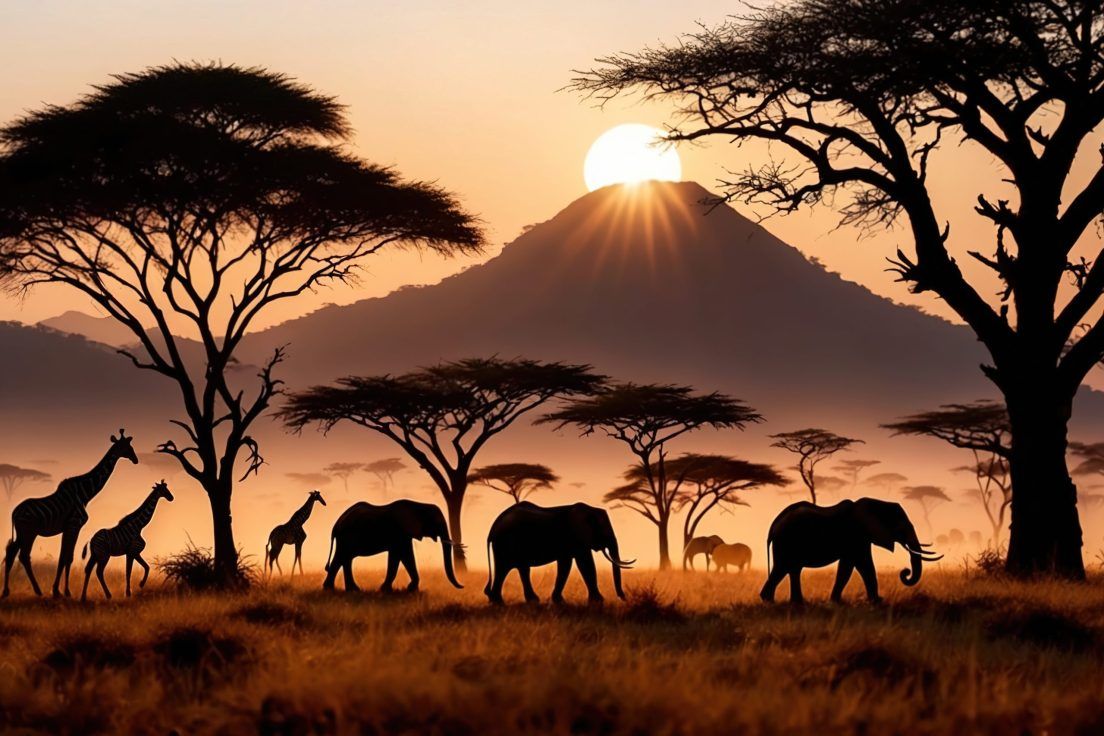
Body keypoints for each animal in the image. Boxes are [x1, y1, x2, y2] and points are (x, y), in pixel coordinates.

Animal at [3, 429, 138, 598]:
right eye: (127, 447)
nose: (136, 459)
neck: (85, 493)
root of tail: (14, 512)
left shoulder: (68, 528)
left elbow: (64, 557)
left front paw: (58, 591)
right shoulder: (74, 525)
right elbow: (67, 557)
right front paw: (63, 591)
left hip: (25, 532)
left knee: (15, 553)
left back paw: (15, 591)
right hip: (27, 531)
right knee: (20, 554)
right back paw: (30, 591)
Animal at [322, 500, 463, 592]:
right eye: (437, 522)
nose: (462, 586)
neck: (419, 505)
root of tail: (336, 524)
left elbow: (398, 557)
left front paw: (401, 590)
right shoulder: (400, 532)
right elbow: (404, 556)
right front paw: (406, 589)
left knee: (345, 559)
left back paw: (350, 590)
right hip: (346, 537)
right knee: (342, 558)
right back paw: (334, 590)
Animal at [484, 501, 634, 604]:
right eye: (604, 530)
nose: (624, 598)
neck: (590, 509)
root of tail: (493, 526)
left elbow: (565, 564)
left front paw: (559, 602)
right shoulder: (576, 536)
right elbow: (585, 563)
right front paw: (598, 602)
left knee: (517, 569)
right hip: (506, 543)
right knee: (505, 569)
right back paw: (501, 603)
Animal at [760, 498, 942, 605]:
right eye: (901, 528)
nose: (905, 572)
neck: (876, 504)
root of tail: (773, 526)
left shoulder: (861, 538)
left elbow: (853, 566)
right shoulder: (856, 536)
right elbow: (860, 565)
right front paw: (876, 602)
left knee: (791, 569)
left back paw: (791, 603)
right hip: (787, 542)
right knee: (783, 568)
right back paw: (772, 601)